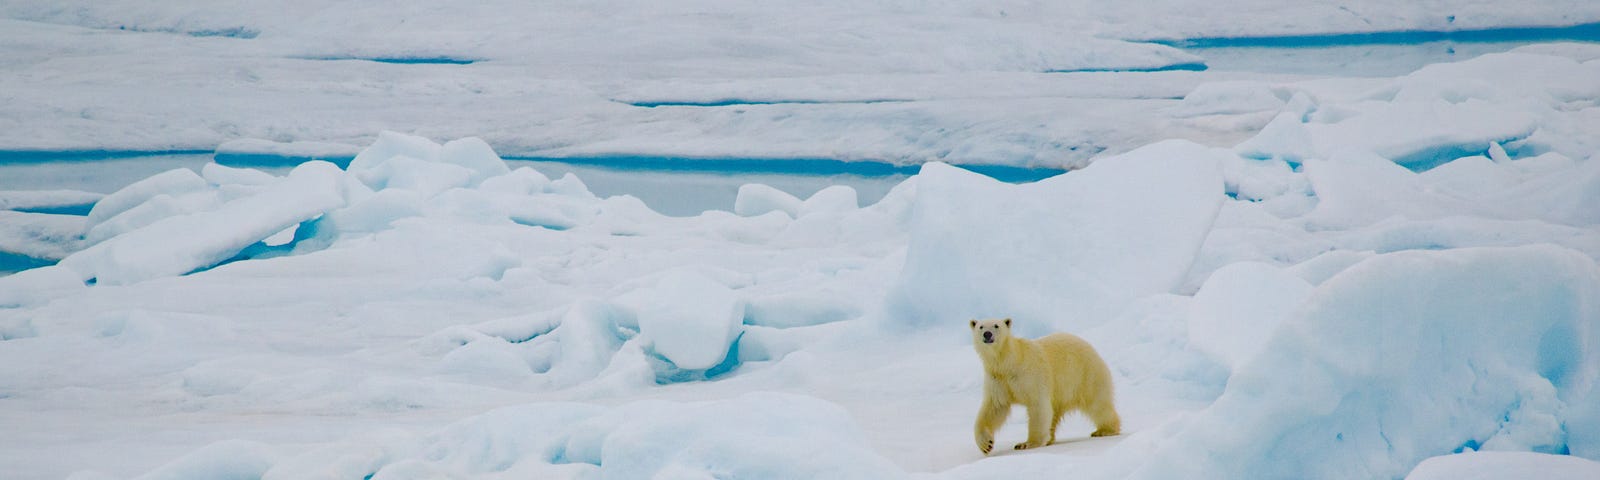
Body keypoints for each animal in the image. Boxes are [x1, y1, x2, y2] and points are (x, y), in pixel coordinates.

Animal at [966, 318, 1120, 454]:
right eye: (981, 326)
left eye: (996, 325)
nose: (987, 334)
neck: (1009, 361)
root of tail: (1092, 348)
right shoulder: (998, 378)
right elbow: (995, 408)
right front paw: (986, 444)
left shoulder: (1029, 374)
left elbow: (1037, 405)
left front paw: (1027, 443)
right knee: (1055, 412)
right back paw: (1050, 439)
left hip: (1085, 375)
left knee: (1097, 403)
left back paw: (1105, 430)